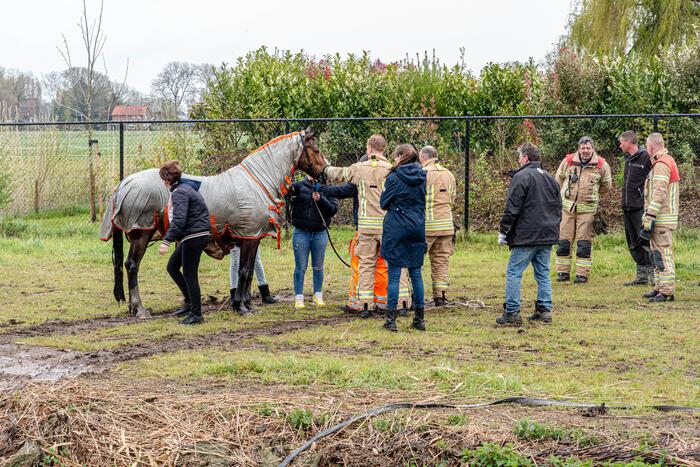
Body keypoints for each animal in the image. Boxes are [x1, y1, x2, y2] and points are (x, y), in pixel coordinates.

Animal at [99, 129, 327, 317]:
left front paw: (246, 303)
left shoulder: (252, 237)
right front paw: (241, 306)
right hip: (142, 234)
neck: (257, 182)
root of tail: (123, 184)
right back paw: (139, 309)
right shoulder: (249, 238)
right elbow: (243, 271)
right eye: (315, 149)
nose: (325, 173)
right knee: (132, 266)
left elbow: (249, 272)